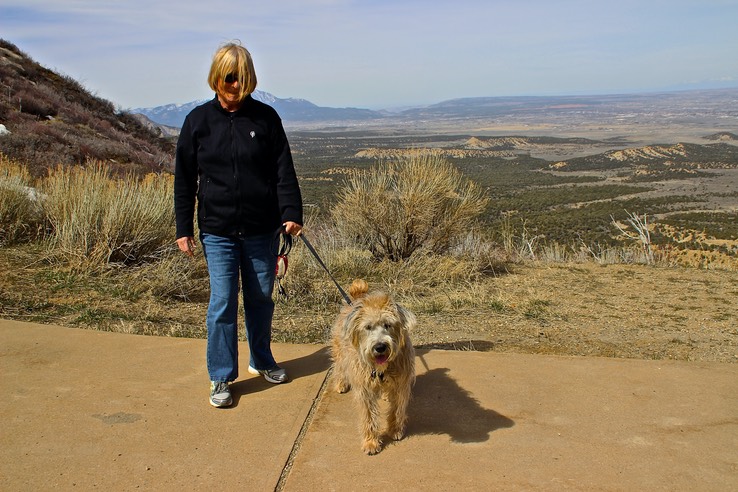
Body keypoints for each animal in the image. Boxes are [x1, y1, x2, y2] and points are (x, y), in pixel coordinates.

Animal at [330, 278, 414, 456]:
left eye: (388, 325)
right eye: (368, 327)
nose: (380, 346)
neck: (382, 368)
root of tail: (356, 298)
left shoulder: (400, 385)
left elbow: (396, 409)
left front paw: (395, 429)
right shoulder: (364, 390)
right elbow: (368, 416)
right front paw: (370, 442)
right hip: (339, 350)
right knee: (339, 366)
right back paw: (341, 384)